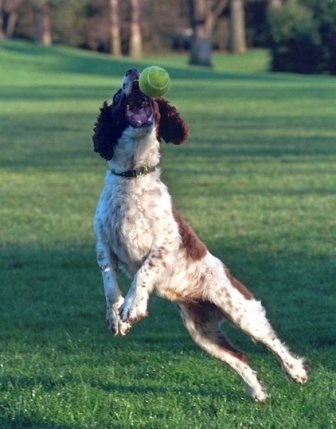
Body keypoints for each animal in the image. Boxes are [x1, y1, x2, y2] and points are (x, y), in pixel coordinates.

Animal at [92, 68, 308, 400]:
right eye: (117, 96)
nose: (133, 71)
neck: (133, 177)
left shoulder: (167, 241)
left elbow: (143, 272)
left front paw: (134, 306)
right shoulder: (104, 244)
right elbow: (109, 285)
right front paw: (117, 318)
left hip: (242, 311)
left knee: (271, 342)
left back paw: (295, 371)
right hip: (202, 333)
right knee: (240, 357)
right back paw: (256, 391)